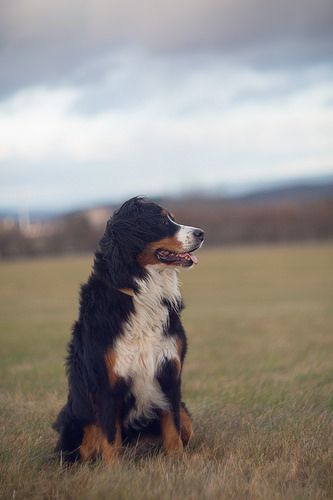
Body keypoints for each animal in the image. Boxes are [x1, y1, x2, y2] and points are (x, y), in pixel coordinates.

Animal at [53, 195, 204, 460]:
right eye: (162, 221)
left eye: (172, 218)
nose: (201, 233)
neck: (142, 293)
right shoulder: (106, 383)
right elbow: (110, 440)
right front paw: (114, 470)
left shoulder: (169, 373)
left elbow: (173, 429)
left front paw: (178, 462)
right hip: (78, 420)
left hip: (185, 413)